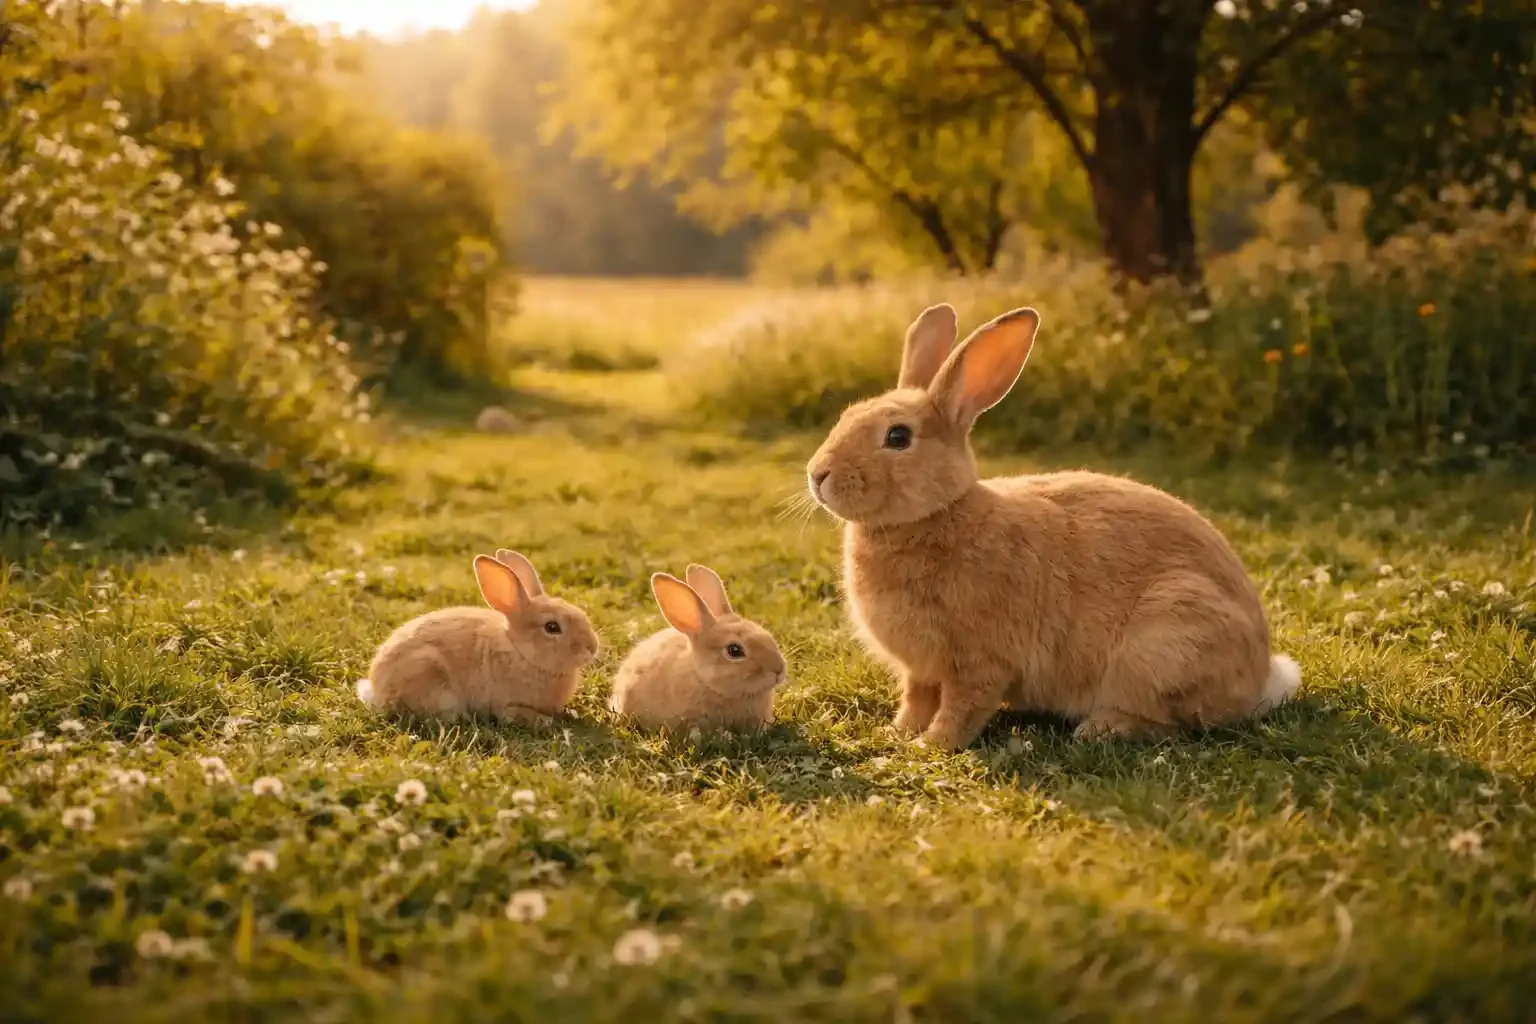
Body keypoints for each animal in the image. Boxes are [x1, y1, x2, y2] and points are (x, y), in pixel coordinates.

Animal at [357, 549, 599, 721]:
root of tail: (377, 690)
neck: (520, 651)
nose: (592, 647)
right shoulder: (506, 705)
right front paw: (544, 721)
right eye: (552, 627)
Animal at [804, 303, 1300, 750]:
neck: (936, 514)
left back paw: (1101, 729)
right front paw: (897, 734)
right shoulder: (921, 670)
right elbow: (915, 699)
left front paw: (931, 746)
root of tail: (1259, 678)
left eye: (898, 437)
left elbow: (962, 708)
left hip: (1165, 640)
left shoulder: (980, 661)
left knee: (1169, 723)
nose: (817, 474)